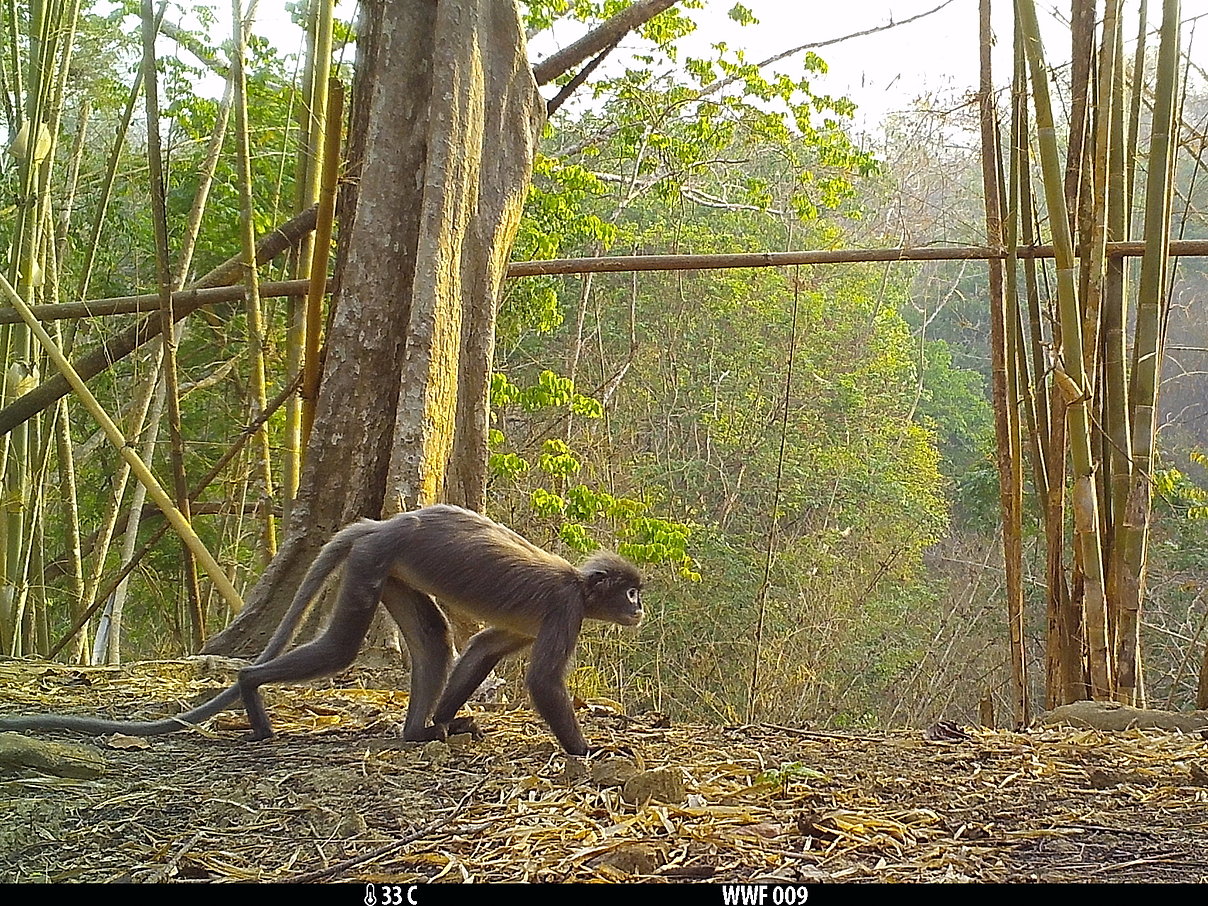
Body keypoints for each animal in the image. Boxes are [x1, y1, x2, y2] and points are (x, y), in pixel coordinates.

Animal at [0, 505, 644, 756]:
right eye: (630, 591)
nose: (639, 608)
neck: (581, 586)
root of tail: (385, 523)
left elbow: (485, 645)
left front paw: (445, 722)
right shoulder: (565, 608)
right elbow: (541, 682)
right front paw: (589, 752)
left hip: (386, 568)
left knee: (434, 639)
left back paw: (418, 732)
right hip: (374, 560)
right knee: (341, 648)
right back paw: (252, 688)